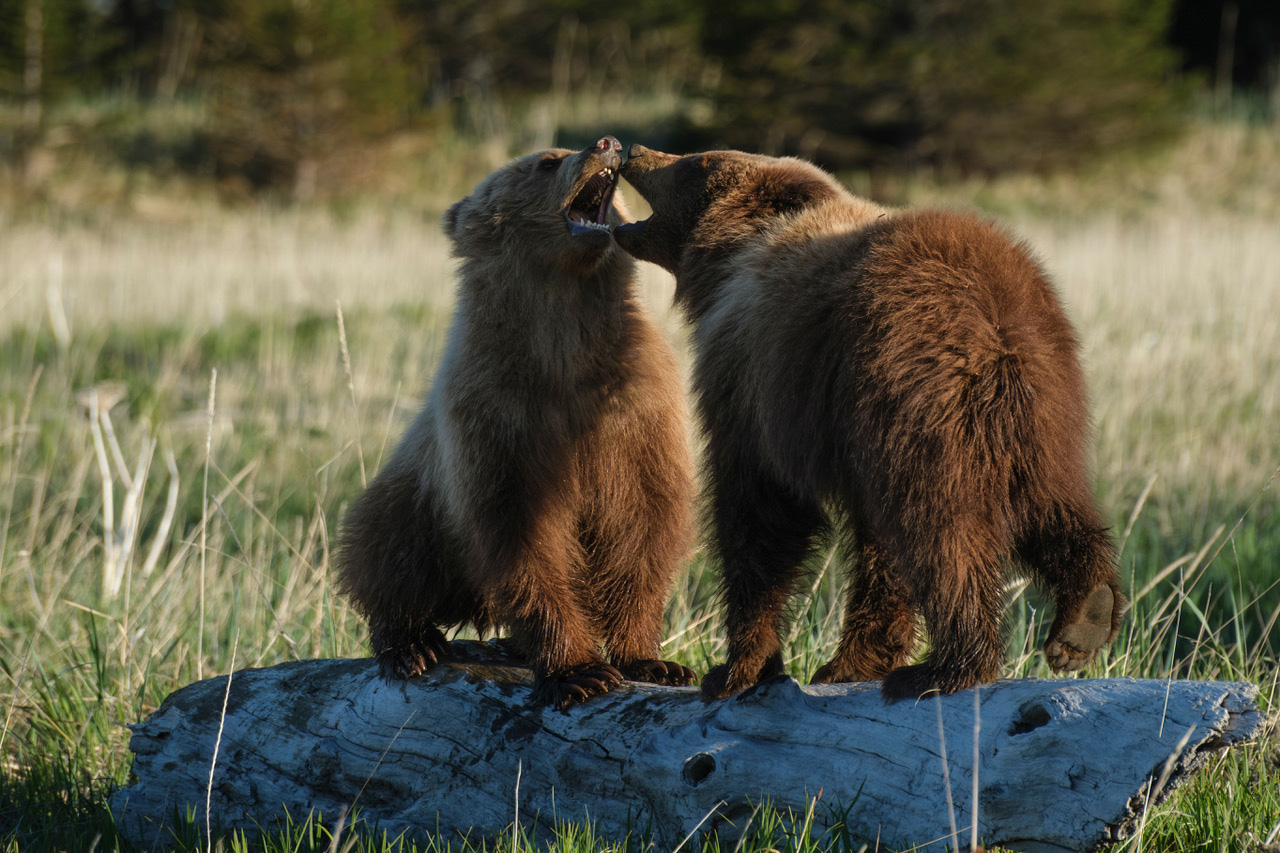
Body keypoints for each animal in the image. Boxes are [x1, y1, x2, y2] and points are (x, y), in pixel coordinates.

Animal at [334, 136, 697, 709]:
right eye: (545, 162)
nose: (607, 143)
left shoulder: (637, 408)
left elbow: (643, 524)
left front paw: (653, 661)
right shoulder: (499, 414)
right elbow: (520, 532)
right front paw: (578, 672)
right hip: (412, 497)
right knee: (386, 552)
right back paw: (412, 644)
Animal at [613, 144, 1126, 702]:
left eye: (695, 163)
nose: (632, 150)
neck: (729, 262)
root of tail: (995, 313)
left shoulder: (754, 382)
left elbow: (762, 509)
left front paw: (736, 668)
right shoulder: (857, 436)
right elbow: (875, 549)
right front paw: (851, 662)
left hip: (920, 395)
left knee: (942, 536)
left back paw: (947, 667)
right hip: (1044, 412)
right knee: (1054, 503)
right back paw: (1085, 614)